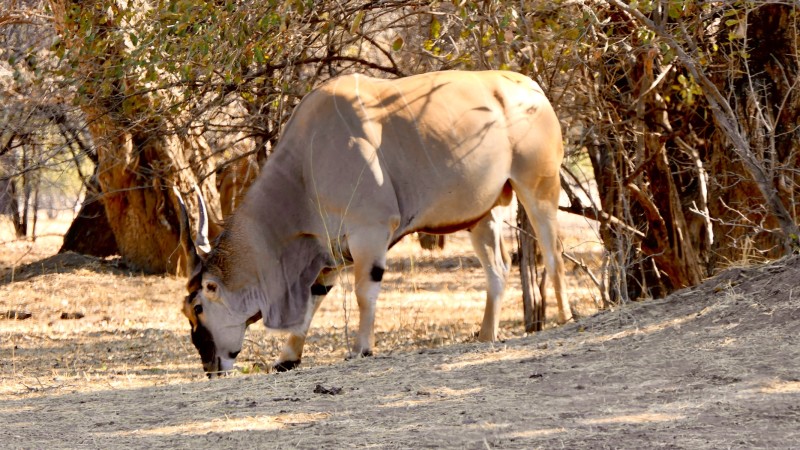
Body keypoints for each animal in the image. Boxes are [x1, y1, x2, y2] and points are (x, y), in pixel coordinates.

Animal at [175, 69, 568, 376]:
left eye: (199, 307)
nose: (210, 366)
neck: (307, 162)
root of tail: (532, 87)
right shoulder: (329, 252)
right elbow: (313, 301)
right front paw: (288, 358)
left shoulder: (370, 233)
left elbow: (365, 292)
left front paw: (362, 348)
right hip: (483, 216)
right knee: (498, 269)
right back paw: (486, 334)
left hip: (539, 190)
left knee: (553, 256)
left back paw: (565, 319)